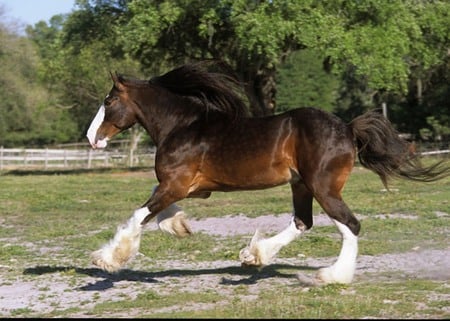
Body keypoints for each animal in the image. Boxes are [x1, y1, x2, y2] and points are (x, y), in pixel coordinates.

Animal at [86, 61, 448, 284]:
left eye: (109, 100)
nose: (92, 138)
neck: (183, 125)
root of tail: (347, 128)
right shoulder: (189, 187)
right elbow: (155, 210)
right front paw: (179, 226)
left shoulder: (176, 183)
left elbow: (140, 214)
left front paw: (107, 259)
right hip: (301, 185)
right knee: (303, 222)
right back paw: (254, 255)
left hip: (323, 187)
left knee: (350, 224)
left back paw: (331, 276)